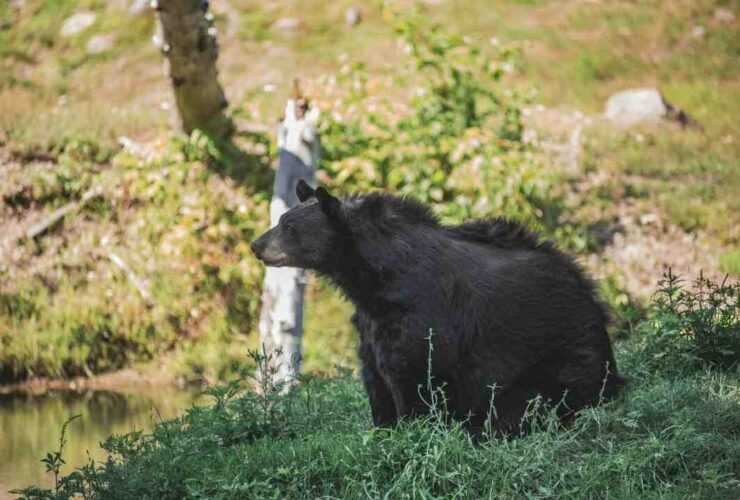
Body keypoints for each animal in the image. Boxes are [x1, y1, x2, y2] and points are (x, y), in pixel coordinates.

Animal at [253, 181, 624, 434]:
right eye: (282, 218)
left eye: (289, 227)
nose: (256, 245)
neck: (374, 278)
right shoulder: (371, 322)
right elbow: (375, 378)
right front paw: (382, 430)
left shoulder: (419, 315)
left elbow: (412, 375)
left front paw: (412, 430)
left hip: (557, 362)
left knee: (526, 404)